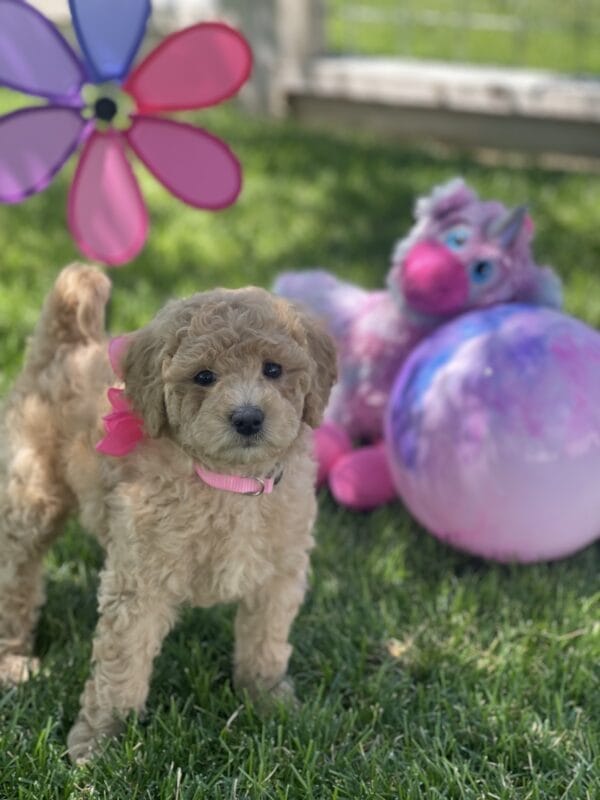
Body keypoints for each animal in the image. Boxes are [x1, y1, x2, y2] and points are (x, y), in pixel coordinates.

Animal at [0, 264, 338, 764]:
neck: (228, 483)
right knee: (16, 576)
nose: (248, 418)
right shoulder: (140, 582)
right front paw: (102, 740)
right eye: (204, 376)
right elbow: (121, 665)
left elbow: (266, 641)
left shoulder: (279, 572)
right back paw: (13, 662)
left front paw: (269, 702)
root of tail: (70, 344)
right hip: (30, 492)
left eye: (273, 369)